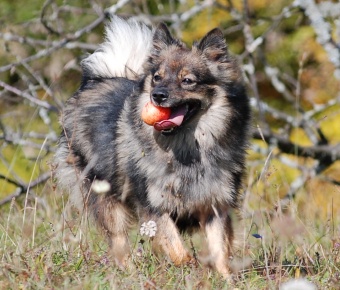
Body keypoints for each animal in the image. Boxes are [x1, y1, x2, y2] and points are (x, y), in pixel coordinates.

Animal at [54, 16, 251, 278]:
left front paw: (225, 279)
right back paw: (131, 274)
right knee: (120, 244)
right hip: (105, 196)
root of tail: (97, 80)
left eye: (187, 81)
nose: (157, 95)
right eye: (157, 77)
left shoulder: (215, 204)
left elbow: (220, 250)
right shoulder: (154, 206)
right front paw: (189, 268)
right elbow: (177, 249)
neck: (186, 149)